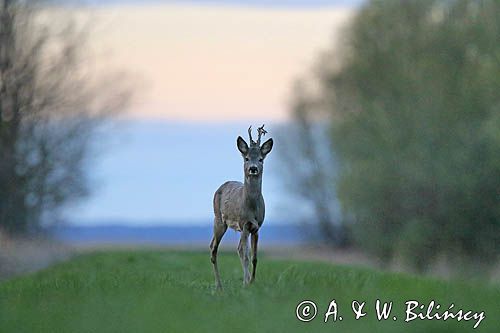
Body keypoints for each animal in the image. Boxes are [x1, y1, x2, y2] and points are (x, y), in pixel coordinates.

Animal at [210, 123, 276, 290]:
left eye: (261, 159)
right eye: (246, 158)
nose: (253, 168)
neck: (251, 208)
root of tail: (222, 185)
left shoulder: (256, 227)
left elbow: (254, 257)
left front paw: (252, 281)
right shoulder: (244, 223)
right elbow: (245, 255)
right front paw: (246, 283)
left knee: (235, 248)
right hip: (219, 220)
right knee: (214, 248)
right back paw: (219, 286)